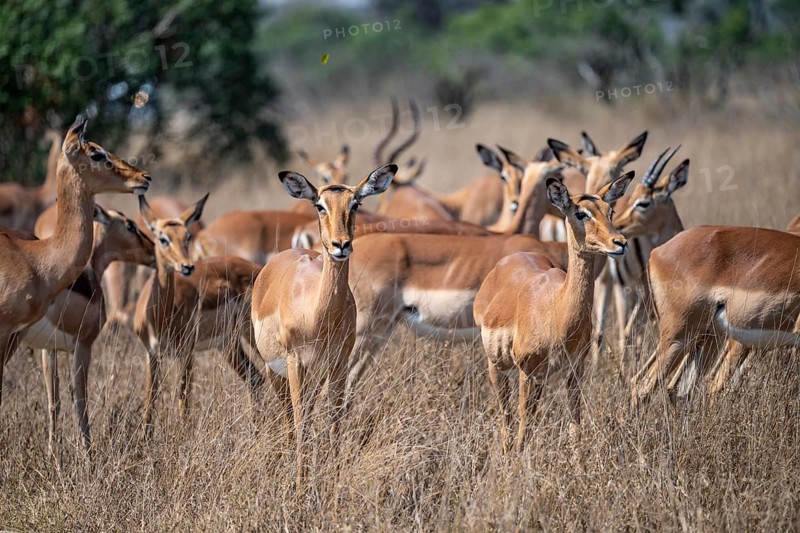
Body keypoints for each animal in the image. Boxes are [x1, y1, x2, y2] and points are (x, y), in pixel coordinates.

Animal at [25, 205, 154, 452]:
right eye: (130, 225)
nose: (152, 249)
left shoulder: (49, 349)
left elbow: (53, 402)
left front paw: (52, 454)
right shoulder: (84, 345)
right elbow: (80, 401)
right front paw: (88, 455)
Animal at [134, 194, 265, 435]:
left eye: (187, 236)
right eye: (162, 238)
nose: (186, 266)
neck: (159, 317)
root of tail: (261, 271)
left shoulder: (186, 352)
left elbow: (183, 397)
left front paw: (183, 435)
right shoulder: (152, 353)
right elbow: (150, 398)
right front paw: (145, 439)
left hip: (253, 336)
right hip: (229, 345)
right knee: (256, 379)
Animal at [251, 164, 396, 481]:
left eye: (355, 204)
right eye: (319, 205)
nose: (340, 245)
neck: (318, 316)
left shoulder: (338, 364)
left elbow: (335, 424)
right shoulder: (295, 363)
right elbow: (301, 426)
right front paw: (300, 487)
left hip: (315, 377)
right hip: (274, 371)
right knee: (288, 419)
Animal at [473, 174, 632, 453]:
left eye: (609, 210)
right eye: (580, 213)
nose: (620, 243)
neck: (556, 309)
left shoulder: (574, 372)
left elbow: (575, 427)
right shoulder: (527, 372)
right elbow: (523, 428)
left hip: (539, 380)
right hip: (497, 368)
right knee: (507, 420)